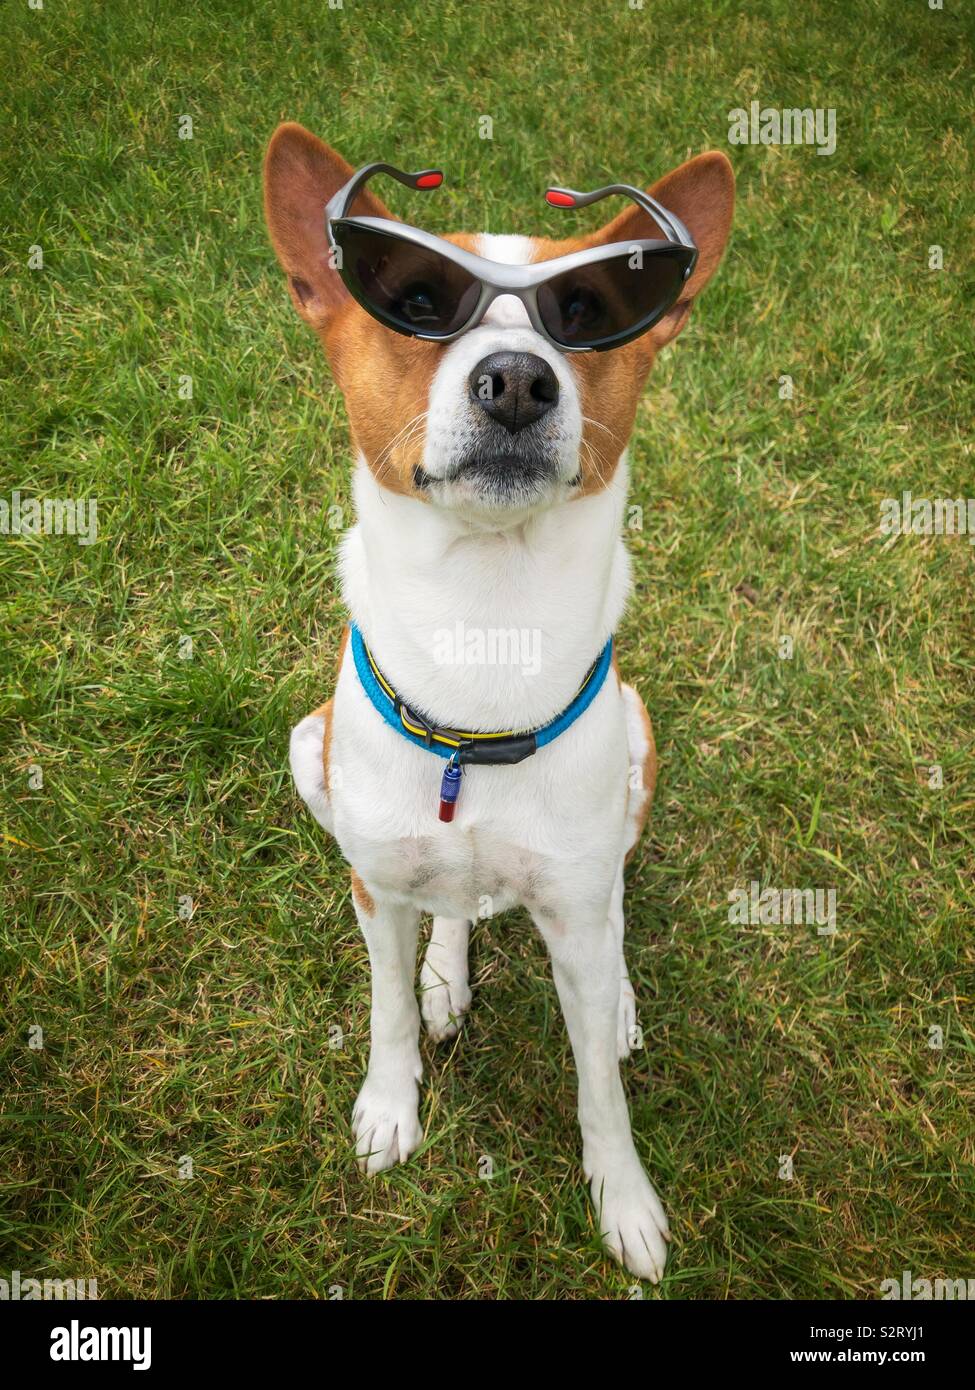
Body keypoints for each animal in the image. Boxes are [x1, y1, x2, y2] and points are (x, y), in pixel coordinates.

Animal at [262, 127, 734, 1278]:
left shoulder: (574, 895)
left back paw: (615, 992)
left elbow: (599, 1087)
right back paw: (449, 969)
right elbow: (386, 1006)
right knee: (451, 908)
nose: (517, 380)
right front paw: (390, 1105)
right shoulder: (375, 889)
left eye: (591, 312)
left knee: (609, 904)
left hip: (638, 748)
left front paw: (624, 1198)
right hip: (310, 751)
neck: (484, 626)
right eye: (417, 300)